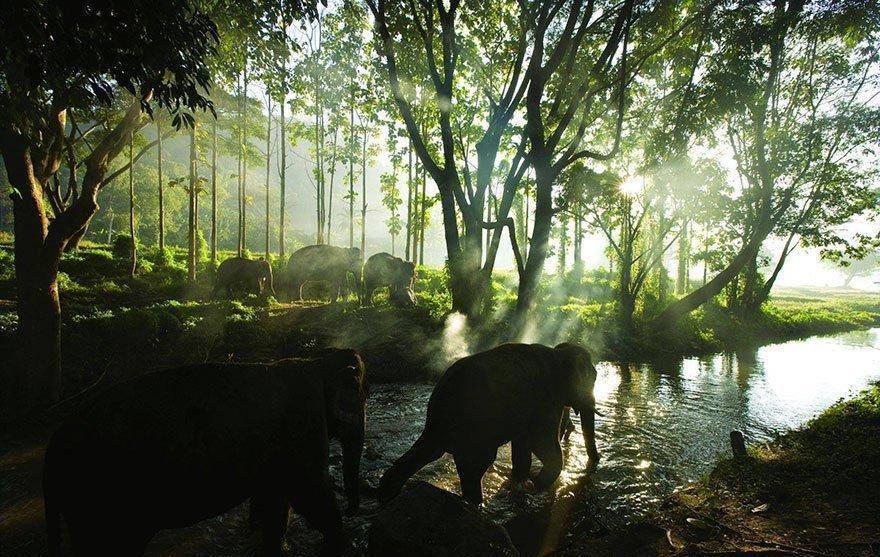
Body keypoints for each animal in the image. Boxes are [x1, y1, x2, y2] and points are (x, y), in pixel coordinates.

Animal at [43, 348, 368, 556]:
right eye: (360, 402)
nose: (353, 509)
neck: (316, 364)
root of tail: (53, 444)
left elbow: (274, 499)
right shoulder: (302, 425)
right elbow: (309, 492)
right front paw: (341, 545)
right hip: (98, 502)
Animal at [378, 340, 600, 506]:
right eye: (594, 378)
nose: (595, 462)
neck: (558, 353)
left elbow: (524, 445)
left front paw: (522, 484)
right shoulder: (546, 400)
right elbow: (541, 443)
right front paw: (536, 485)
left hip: (444, 429)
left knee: (430, 452)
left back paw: (386, 494)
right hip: (476, 429)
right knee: (475, 465)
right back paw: (475, 504)